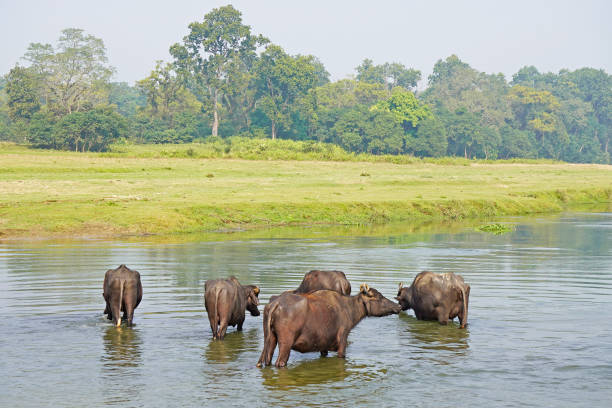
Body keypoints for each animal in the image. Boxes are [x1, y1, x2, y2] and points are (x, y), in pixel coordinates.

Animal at [256, 284, 400, 366]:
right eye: (379, 297)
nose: (398, 306)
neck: (351, 310)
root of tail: (274, 305)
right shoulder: (343, 340)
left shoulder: (323, 346)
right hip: (286, 343)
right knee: (280, 363)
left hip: (270, 338)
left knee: (267, 360)